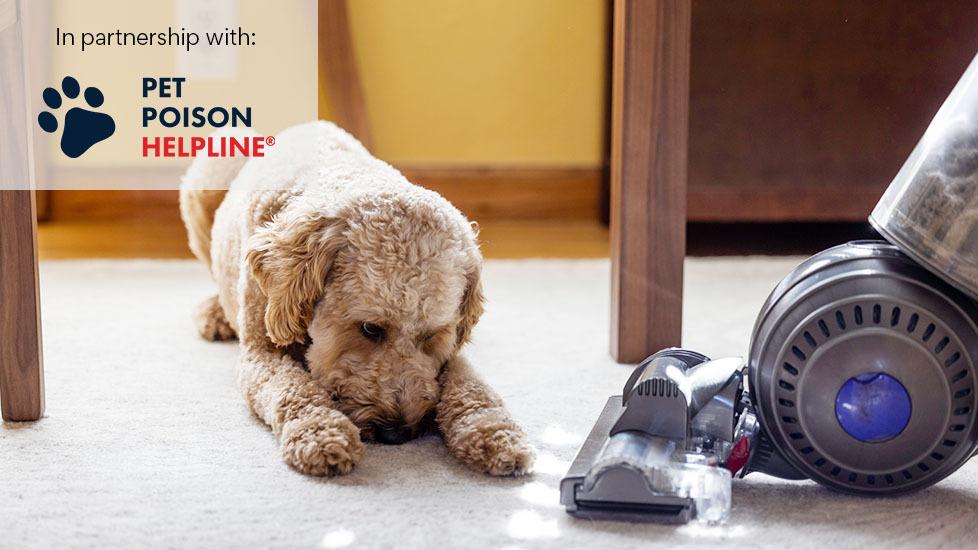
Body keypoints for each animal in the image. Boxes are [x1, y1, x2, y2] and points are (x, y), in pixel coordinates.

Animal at [181, 122, 532, 478]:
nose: (397, 433)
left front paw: (493, 432)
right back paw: (216, 313)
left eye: (432, 336)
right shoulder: (261, 353)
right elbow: (292, 388)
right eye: (370, 329)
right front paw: (321, 432)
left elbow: (471, 385)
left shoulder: (449, 356)